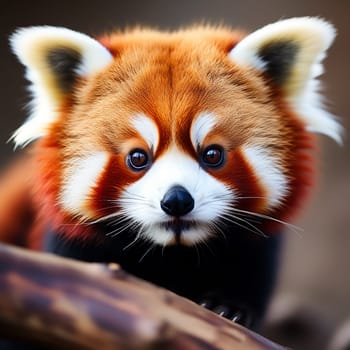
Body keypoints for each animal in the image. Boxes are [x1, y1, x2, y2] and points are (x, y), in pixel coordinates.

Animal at [0, 17, 340, 328]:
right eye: (138, 157)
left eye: (212, 154)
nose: (177, 200)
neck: (175, 257)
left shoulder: (257, 252)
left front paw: (229, 307)